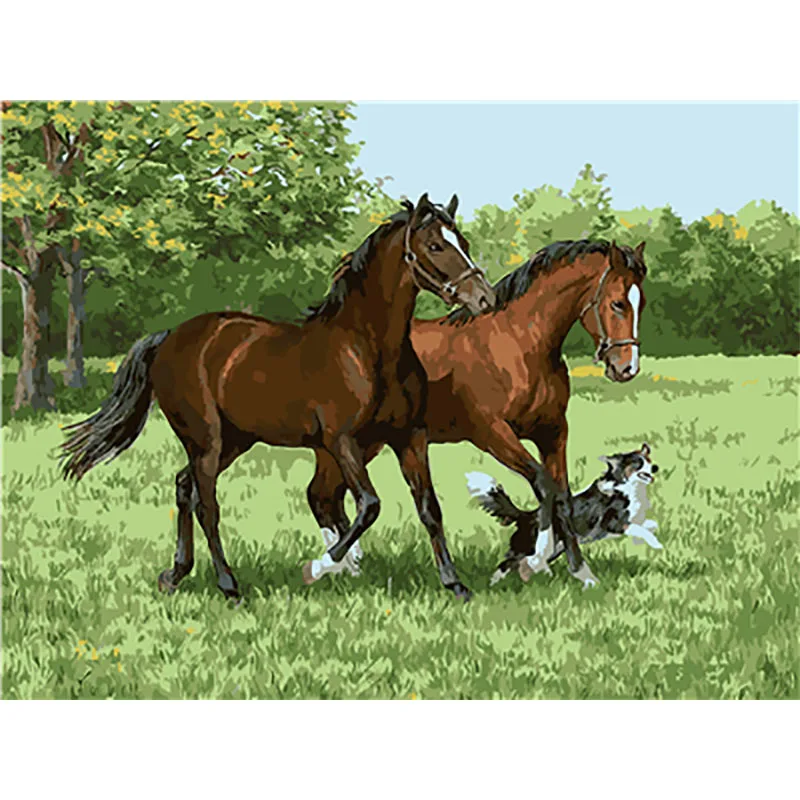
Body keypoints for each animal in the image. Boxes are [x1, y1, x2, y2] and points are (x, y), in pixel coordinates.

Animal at [60, 194, 497, 602]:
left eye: (463, 241)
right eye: (435, 246)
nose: (485, 299)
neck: (366, 348)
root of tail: (170, 337)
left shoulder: (410, 437)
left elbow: (429, 509)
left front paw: (455, 584)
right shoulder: (342, 441)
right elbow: (369, 505)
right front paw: (318, 568)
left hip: (233, 441)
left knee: (185, 487)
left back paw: (175, 574)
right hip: (206, 440)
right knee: (206, 505)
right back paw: (229, 586)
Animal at [307, 239, 648, 589]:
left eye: (641, 303)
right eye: (618, 303)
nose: (626, 368)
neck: (518, 342)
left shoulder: (552, 432)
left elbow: (563, 497)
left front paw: (582, 572)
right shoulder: (493, 434)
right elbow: (544, 486)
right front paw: (536, 558)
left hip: (359, 444)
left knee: (324, 496)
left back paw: (348, 566)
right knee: (322, 496)